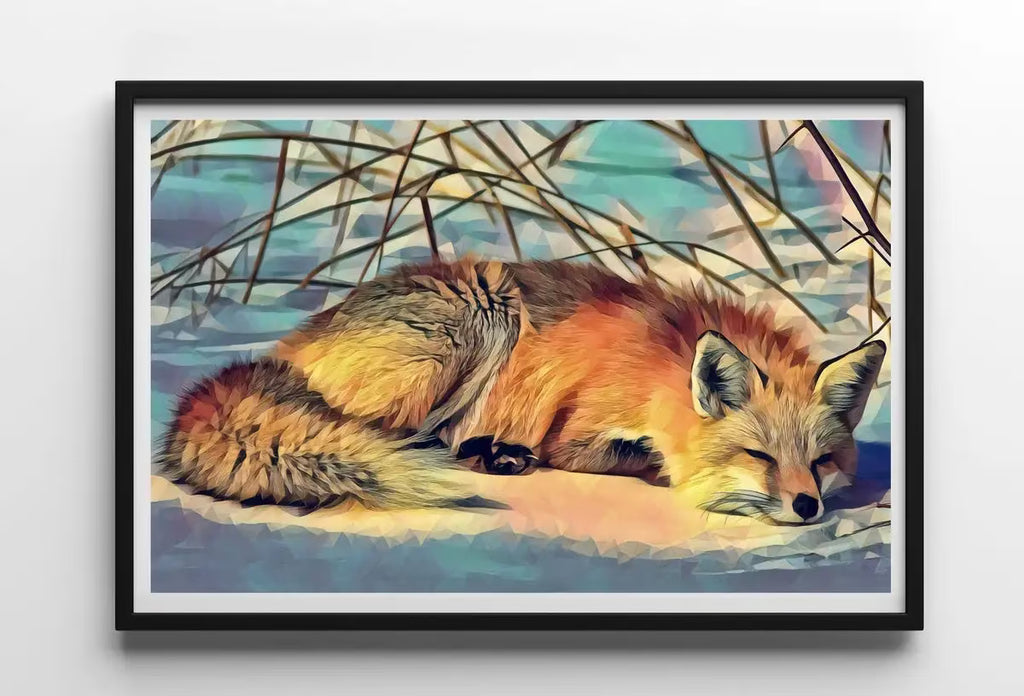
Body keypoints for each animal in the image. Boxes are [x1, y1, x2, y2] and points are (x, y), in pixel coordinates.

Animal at [158, 257, 886, 525]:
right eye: (759, 457)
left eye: (821, 461)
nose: (807, 507)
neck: (663, 370)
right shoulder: (576, 430)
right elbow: (636, 461)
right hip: (479, 320)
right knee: (386, 435)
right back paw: (482, 455)